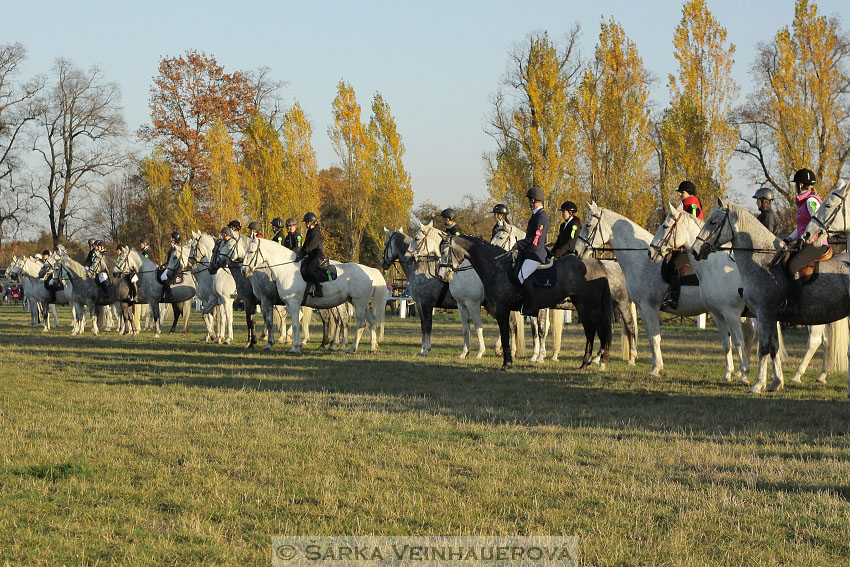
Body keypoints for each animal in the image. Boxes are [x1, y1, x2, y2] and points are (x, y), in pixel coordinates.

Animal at [240, 236, 382, 356]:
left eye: (251, 251)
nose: (243, 271)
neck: (286, 269)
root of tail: (370, 271)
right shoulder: (288, 304)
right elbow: (295, 323)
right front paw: (296, 345)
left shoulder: (290, 303)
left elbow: (295, 324)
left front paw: (293, 348)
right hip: (360, 303)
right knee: (371, 321)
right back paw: (372, 347)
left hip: (358, 304)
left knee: (360, 324)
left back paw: (351, 349)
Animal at [440, 235, 612, 372]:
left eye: (444, 251)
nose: (441, 275)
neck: (497, 268)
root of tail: (599, 265)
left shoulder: (497, 308)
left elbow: (504, 334)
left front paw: (506, 363)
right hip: (584, 307)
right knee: (592, 332)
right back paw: (586, 364)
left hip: (588, 307)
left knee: (595, 331)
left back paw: (596, 362)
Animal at [648, 202, 756, 384]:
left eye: (665, 226)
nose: (651, 252)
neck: (714, 268)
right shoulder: (719, 314)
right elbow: (726, 343)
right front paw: (728, 374)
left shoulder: (732, 314)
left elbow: (738, 343)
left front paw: (744, 376)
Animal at [688, 199, 848, 394]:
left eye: (713, 222)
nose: (695, 250)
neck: (762, 261)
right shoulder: (768, 316)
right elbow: (773, 348)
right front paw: (776, 382)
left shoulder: (761, 314)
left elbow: (762, 349)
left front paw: (757, 384)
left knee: (816, 342)